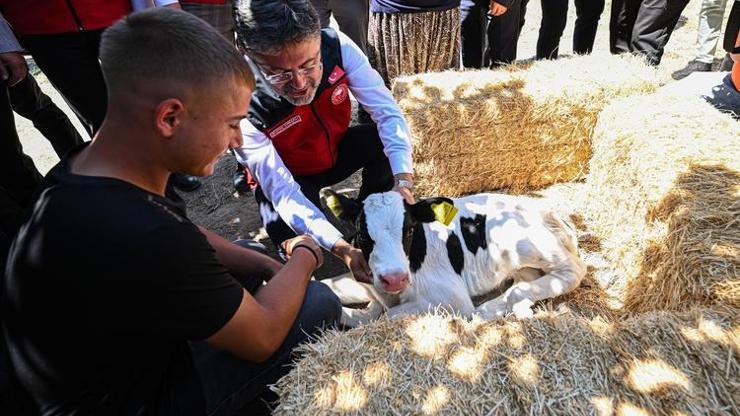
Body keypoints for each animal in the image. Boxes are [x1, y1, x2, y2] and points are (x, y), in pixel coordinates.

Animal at [320, 192, 588, 324]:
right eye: (362, 234)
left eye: (409, 230)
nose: (394, 278)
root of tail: (547, 211)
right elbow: (331, 290)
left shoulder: (451, 299)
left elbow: (388, 316)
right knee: (523, 281)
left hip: (525, 244)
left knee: (573, 270)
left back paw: (489, 310)